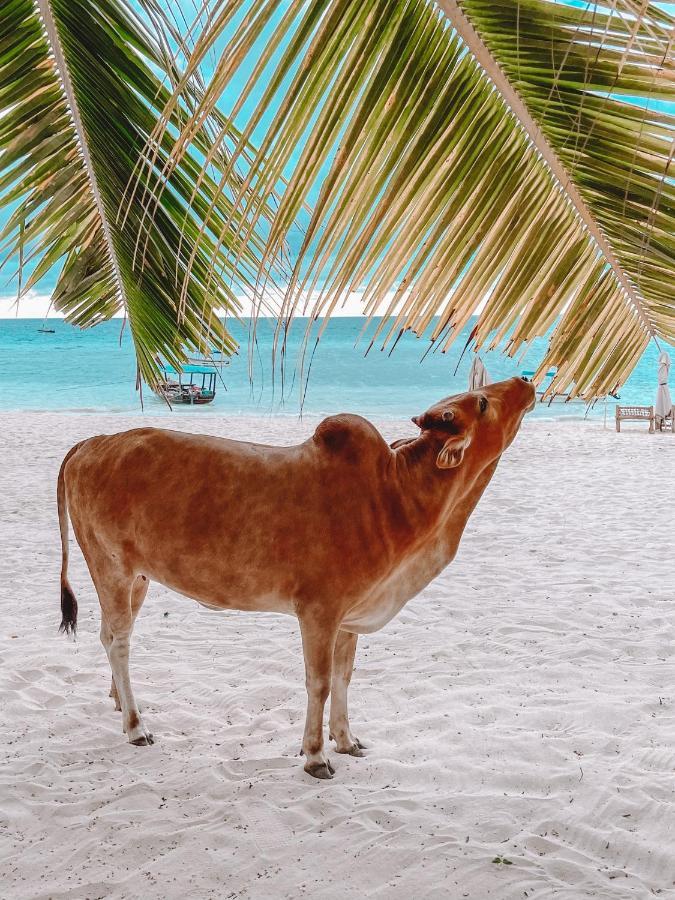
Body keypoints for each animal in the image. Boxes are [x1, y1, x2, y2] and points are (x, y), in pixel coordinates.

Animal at [56, 376, 532, 776]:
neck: (396, 494)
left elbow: (343, 677)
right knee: (120, 642)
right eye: (482, 402)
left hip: (137, 579)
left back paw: (118, 705)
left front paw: (346, 740)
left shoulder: (349, 618)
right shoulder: (319, 612)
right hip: (113, 569)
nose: (525, 380)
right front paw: (316, 755)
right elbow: (318, 683)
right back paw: (137, 725)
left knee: (108, 635)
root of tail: (90, 443)